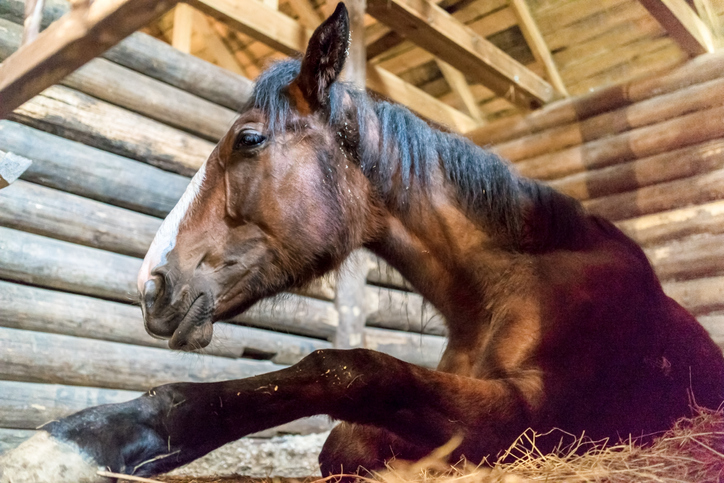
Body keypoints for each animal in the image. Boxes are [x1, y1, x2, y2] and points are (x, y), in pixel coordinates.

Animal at [2, 4, 724, 482]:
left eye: (249, 139)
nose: (152, 285)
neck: (507, 284)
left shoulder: (533, 413)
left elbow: (347, 370)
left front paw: (77, 443)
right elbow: (343, 437)